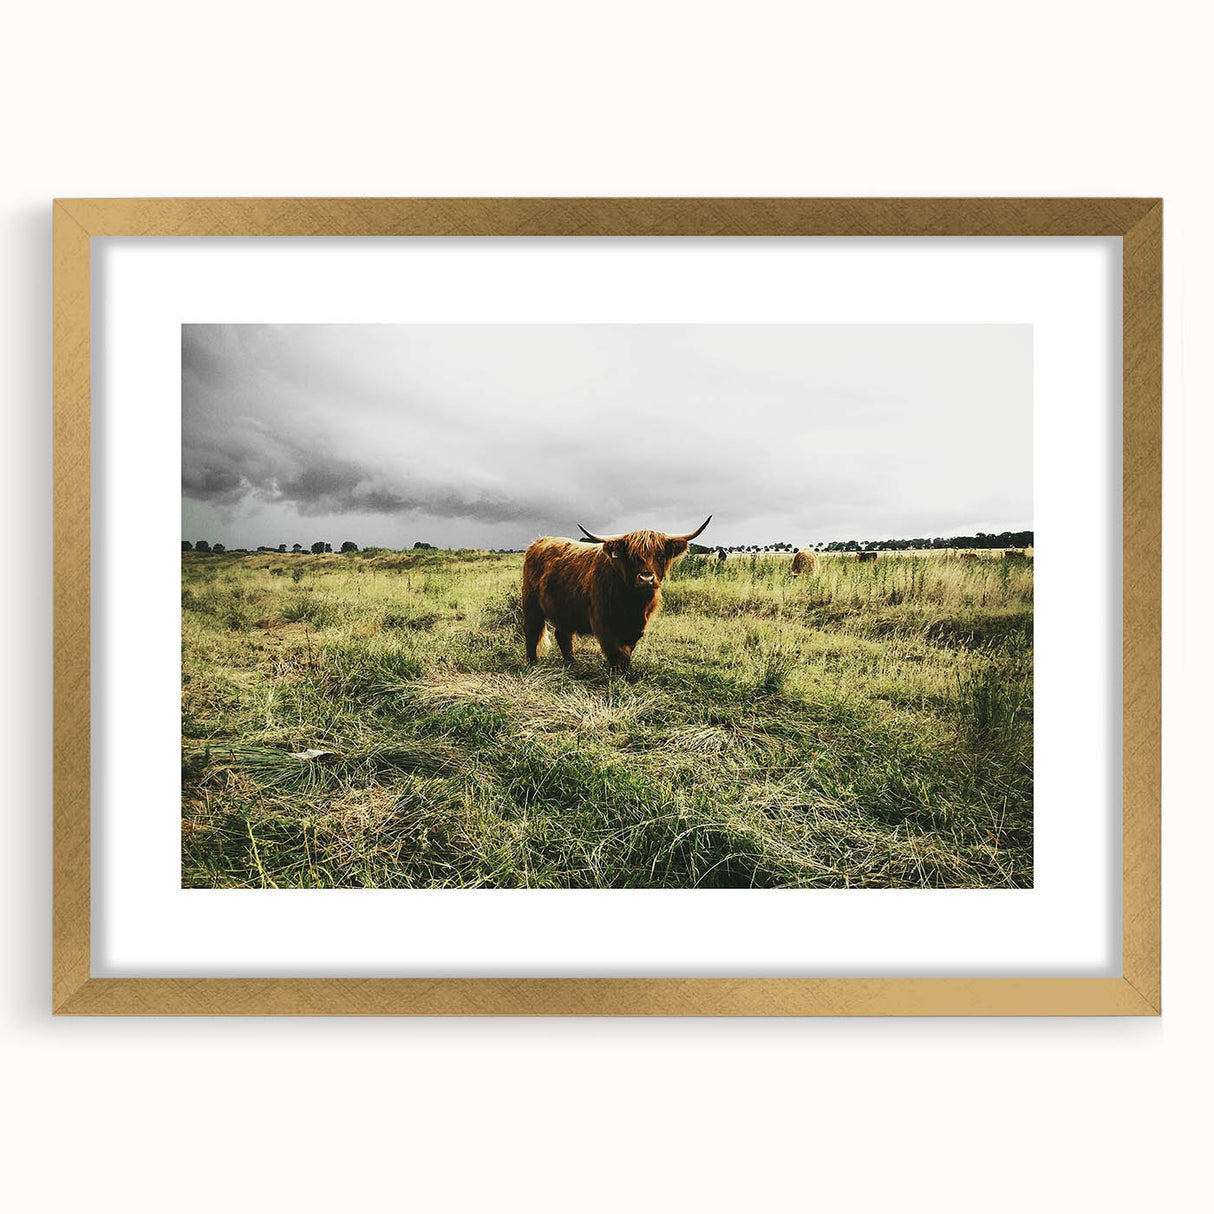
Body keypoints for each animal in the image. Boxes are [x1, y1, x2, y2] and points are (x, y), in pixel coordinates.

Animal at [522, 516, 712, 673]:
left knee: (563, 634)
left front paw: (625, 672)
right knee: (532, 630)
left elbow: (627, 651)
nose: (646, 579)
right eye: (632, 556)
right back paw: (532, 663)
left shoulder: (636, 627)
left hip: (565, 608)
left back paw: (572, 663)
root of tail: (539, 541)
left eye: (660, 555)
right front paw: (617, 675)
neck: (633, 604)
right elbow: (616, 651)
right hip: (531, 603)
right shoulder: (603, 621)